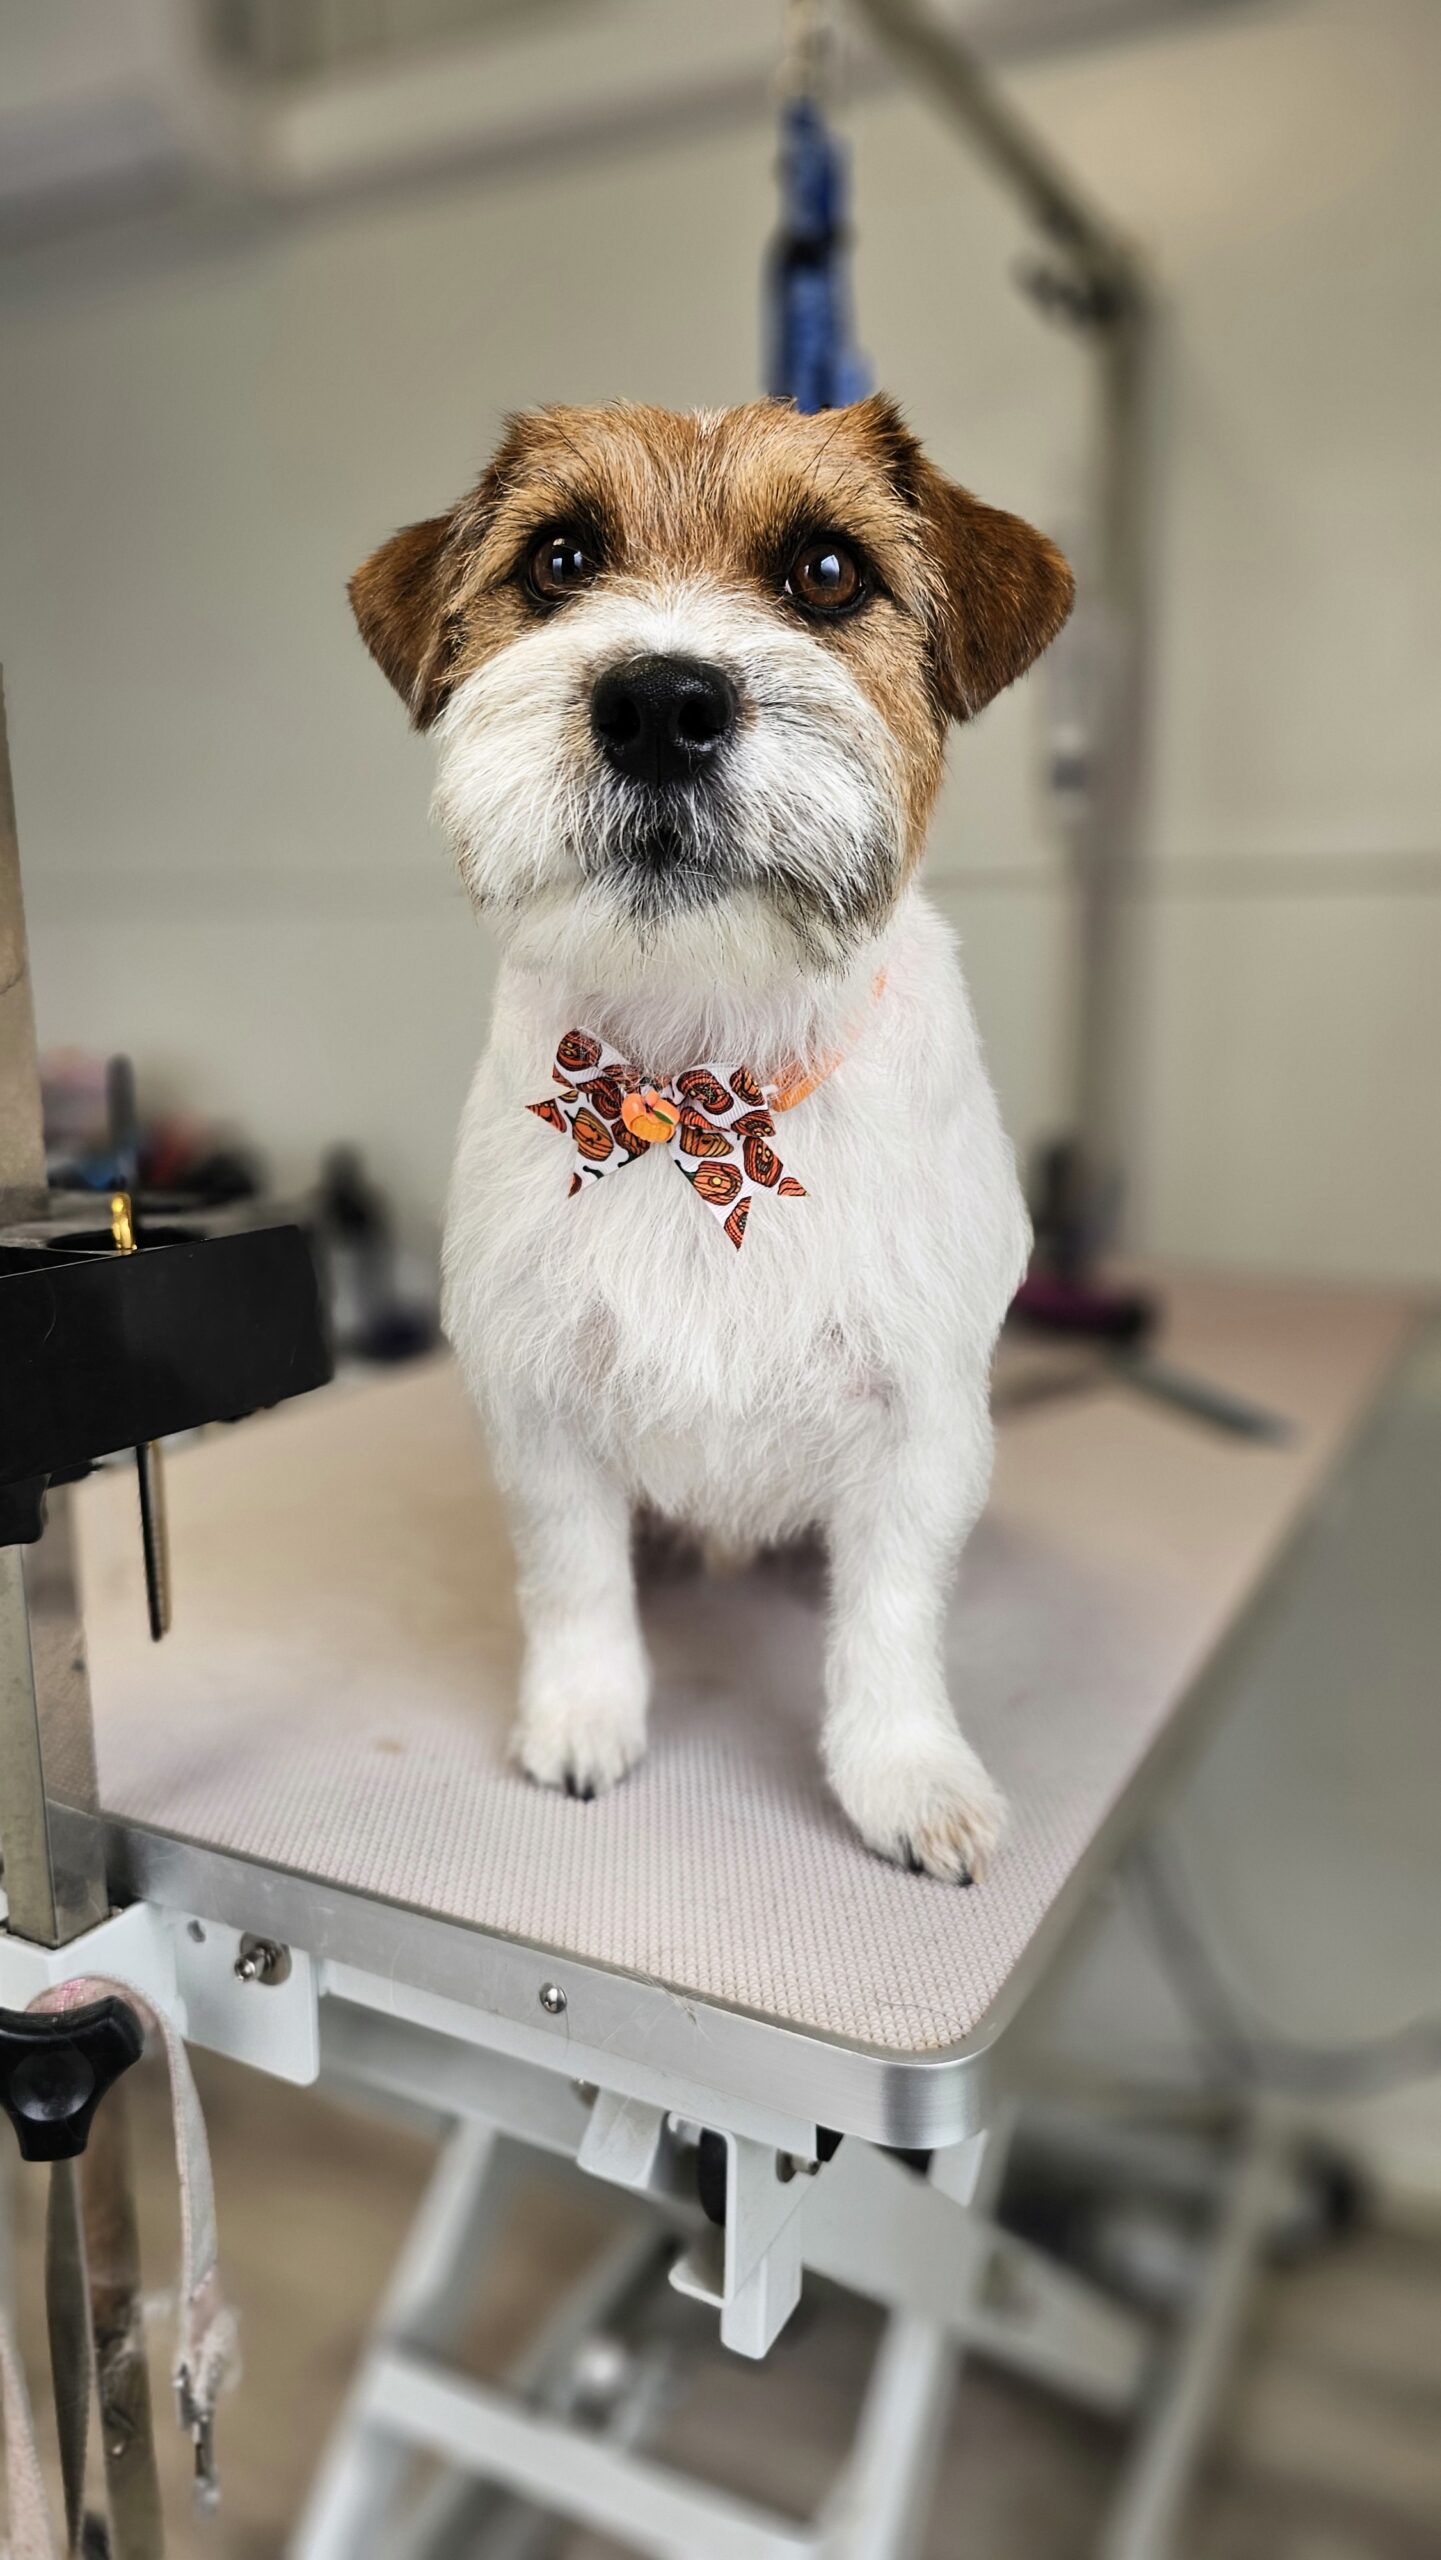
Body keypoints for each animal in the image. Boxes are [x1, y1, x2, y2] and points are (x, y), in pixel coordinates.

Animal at [350, 395, 1072, 1882]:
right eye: (560, 559)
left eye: (828, 572)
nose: (658, 705)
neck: (696, 1081)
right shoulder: (540, 1405)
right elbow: (573, 1579)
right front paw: (582, 1720)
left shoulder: (918, 1428)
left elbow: (891, 1621)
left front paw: (905, 1777)